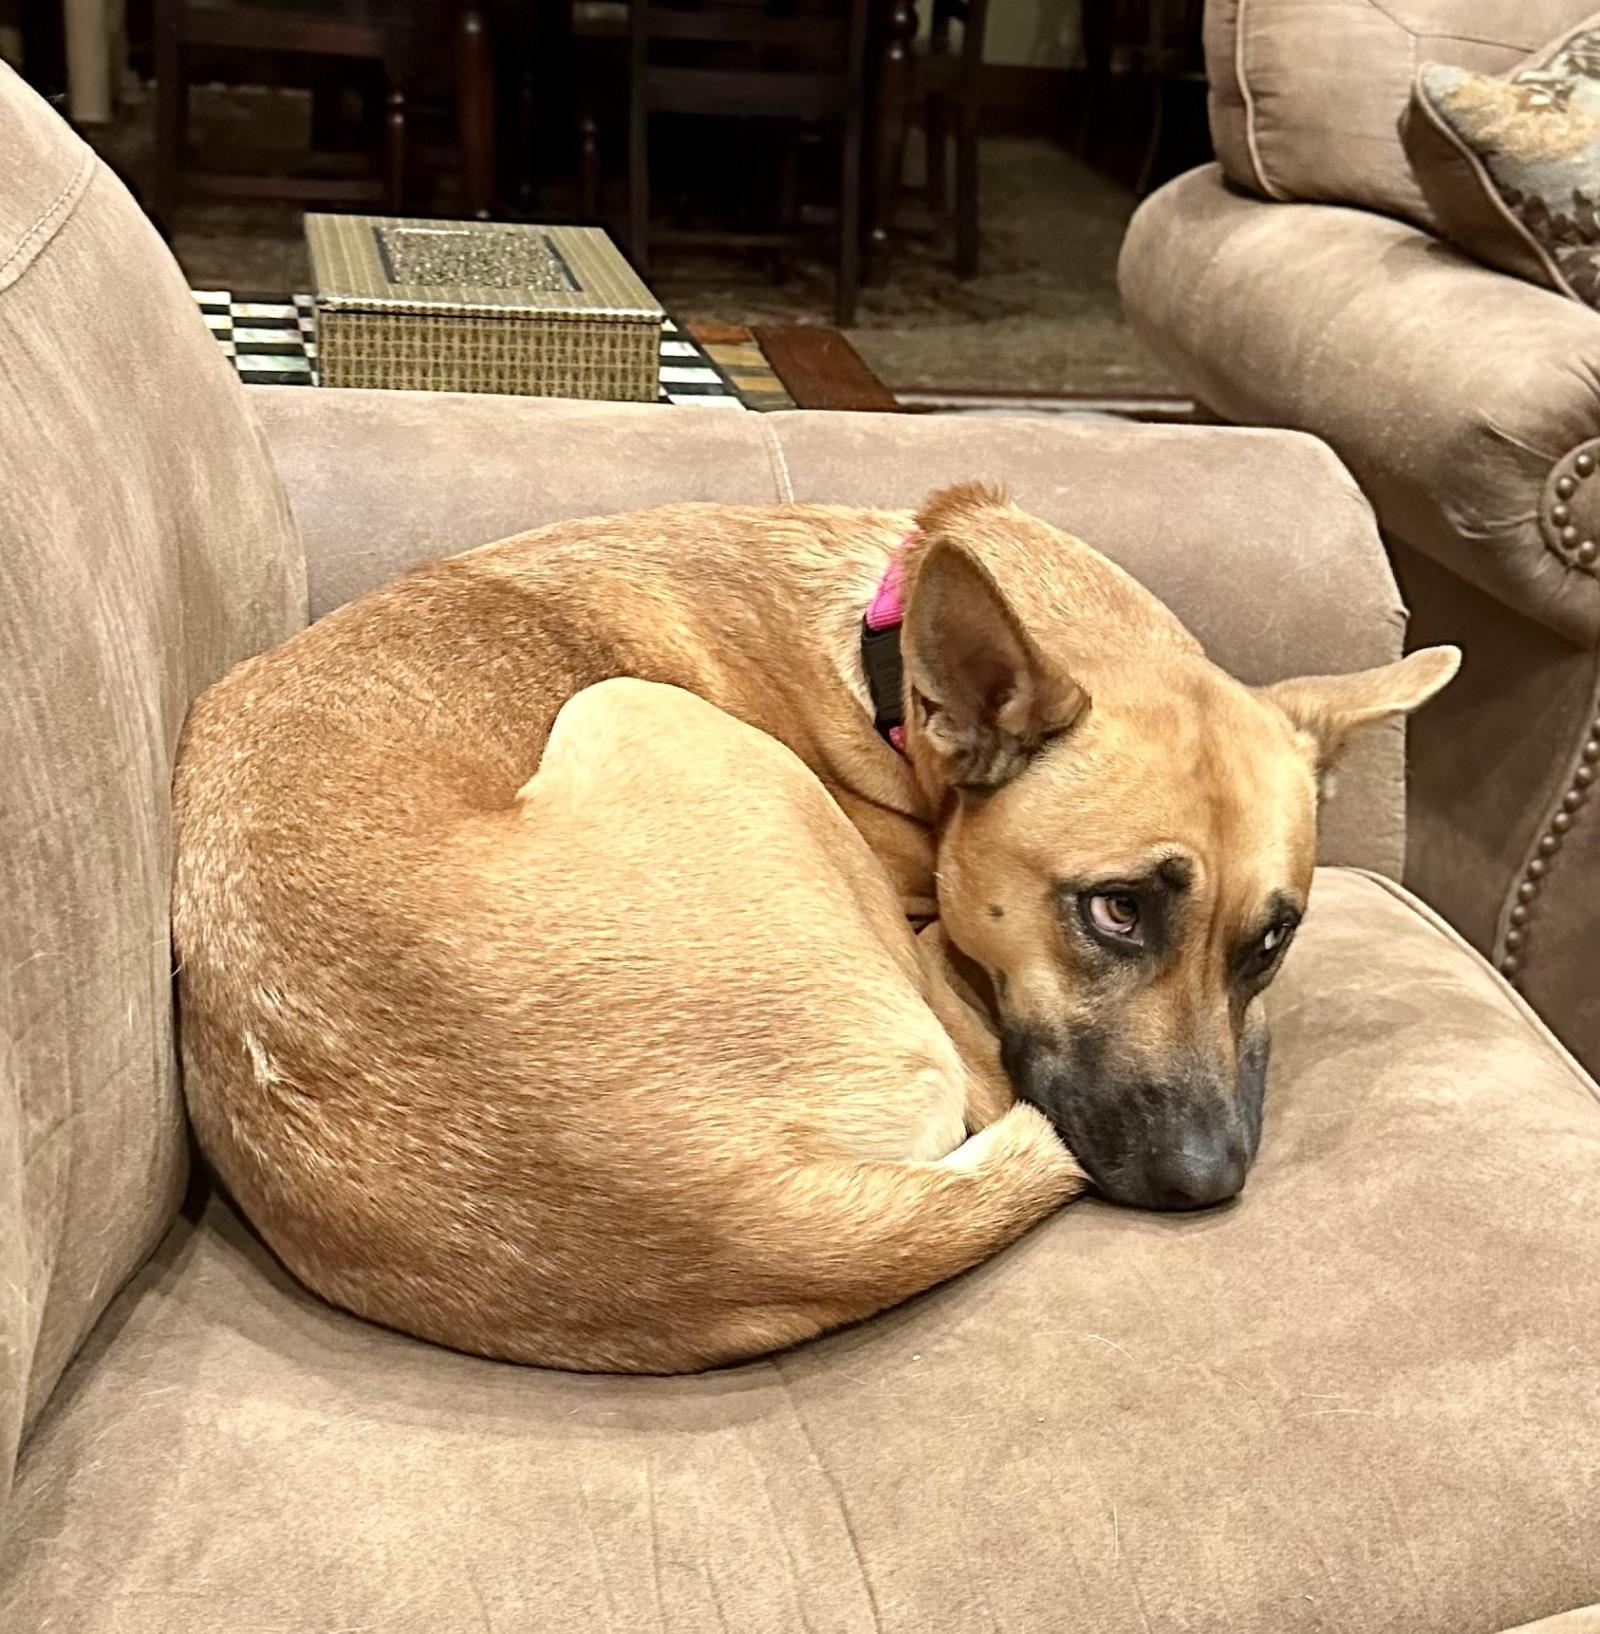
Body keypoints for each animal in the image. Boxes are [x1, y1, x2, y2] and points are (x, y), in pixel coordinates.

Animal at [169, 477, 1457, 1372]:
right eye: (1116, 907)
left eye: (1271, 941)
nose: (1205, 1182)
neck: (877, 662)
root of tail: (738, 1212)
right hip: (657, 716)